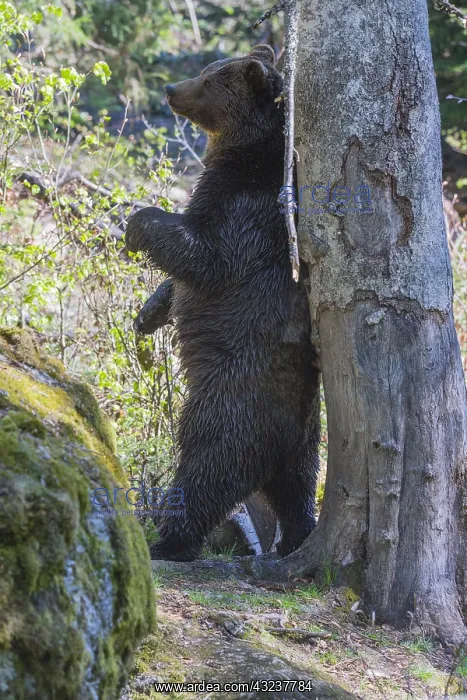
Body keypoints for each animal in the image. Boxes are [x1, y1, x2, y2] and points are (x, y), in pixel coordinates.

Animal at [126, 45, 320, 561]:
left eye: (210, 80)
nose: (171, 88)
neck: (245, 156)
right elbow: (177, 281)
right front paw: (147, 314)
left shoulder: (247, 212)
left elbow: (203, 255)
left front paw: (136, 224)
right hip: (302, 435)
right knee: (296, 487)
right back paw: (295, 537)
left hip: (233, 402)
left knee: (207, 467)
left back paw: (170, 540)